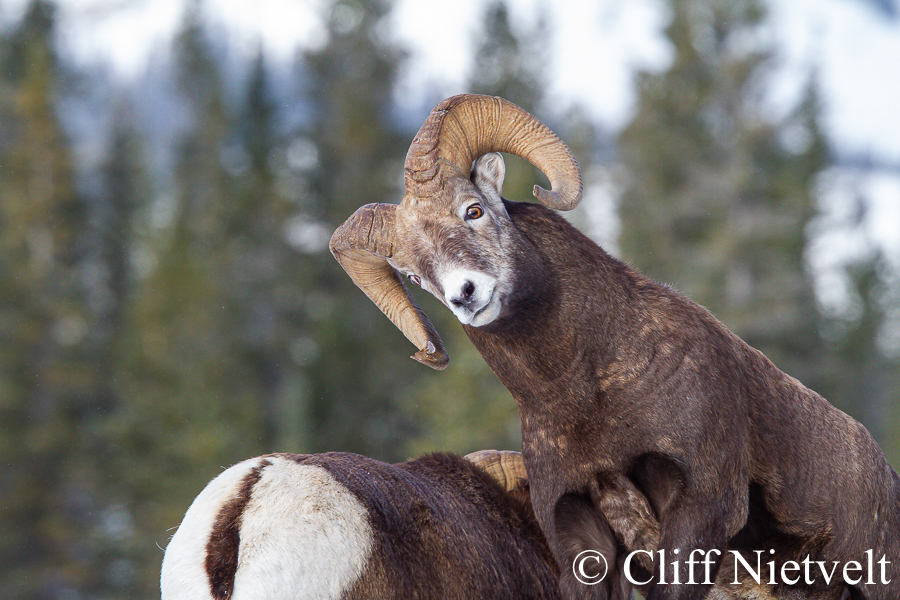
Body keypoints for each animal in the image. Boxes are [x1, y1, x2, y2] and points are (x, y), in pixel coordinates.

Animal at [332, 94, 900, 600]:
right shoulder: (578, 533)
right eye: (414, 274)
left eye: (473, 210)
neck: (586, 396)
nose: (465, 295)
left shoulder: (703, 509)